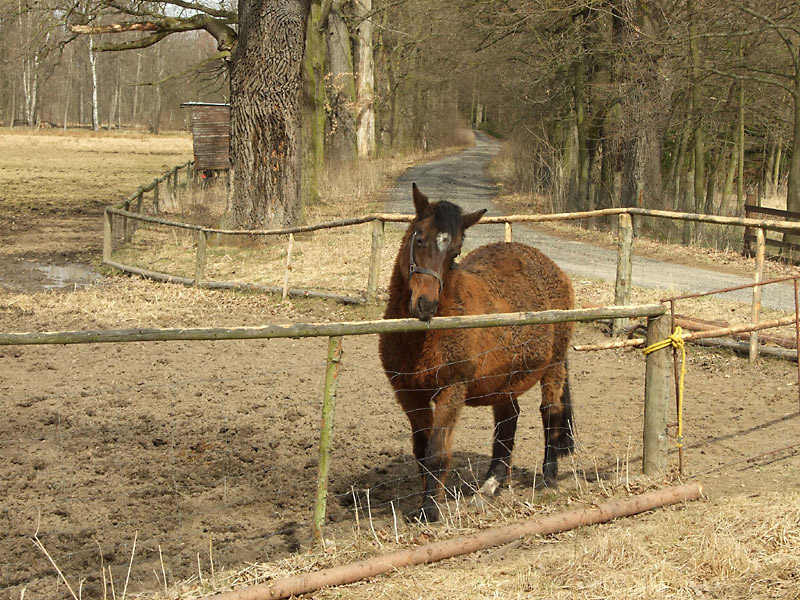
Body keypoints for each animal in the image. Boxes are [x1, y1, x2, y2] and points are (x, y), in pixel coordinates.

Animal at [380, 183, 576, 520]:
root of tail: (553, 268)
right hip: (506, 378)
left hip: (554, 366)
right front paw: (424, 502)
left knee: (550, 412)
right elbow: (421, 451)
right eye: (419, 238)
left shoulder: (451, 390)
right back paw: (491, 485)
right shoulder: (409, 395)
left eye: (455, 252)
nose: (425, 305)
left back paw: (548, 477)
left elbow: (436, 453)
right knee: (508, 419)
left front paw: (429, 511)